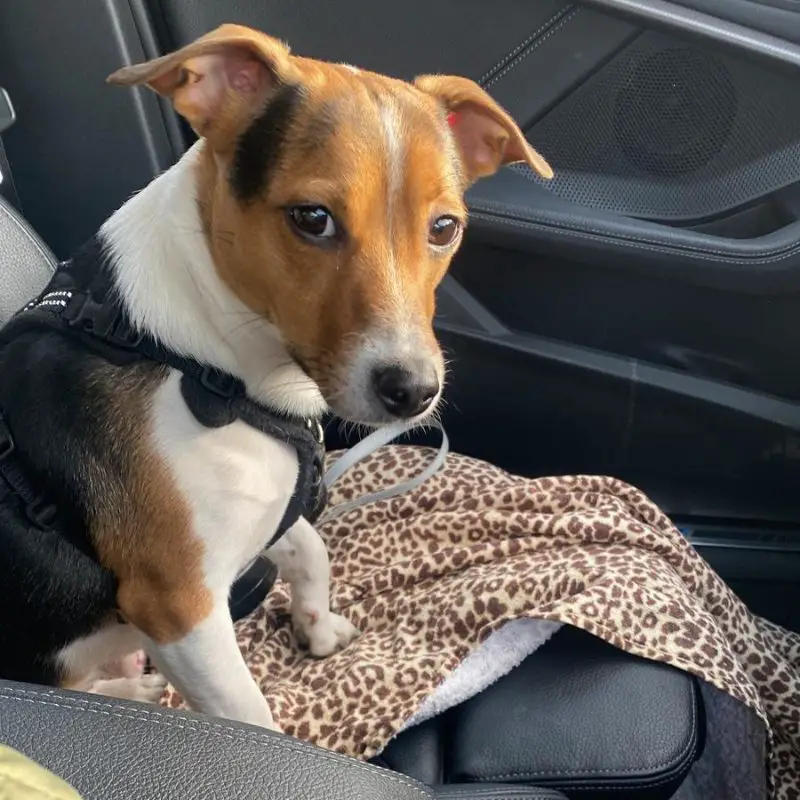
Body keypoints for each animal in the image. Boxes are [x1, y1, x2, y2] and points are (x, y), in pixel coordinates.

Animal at [0, 21, 552, 728]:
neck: (202, 366)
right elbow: (247, 714)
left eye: (444, 227)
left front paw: (317, 627)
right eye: (312, 218)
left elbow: (310, 548)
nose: (413, 392)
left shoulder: (264, 509)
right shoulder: (179, 608)